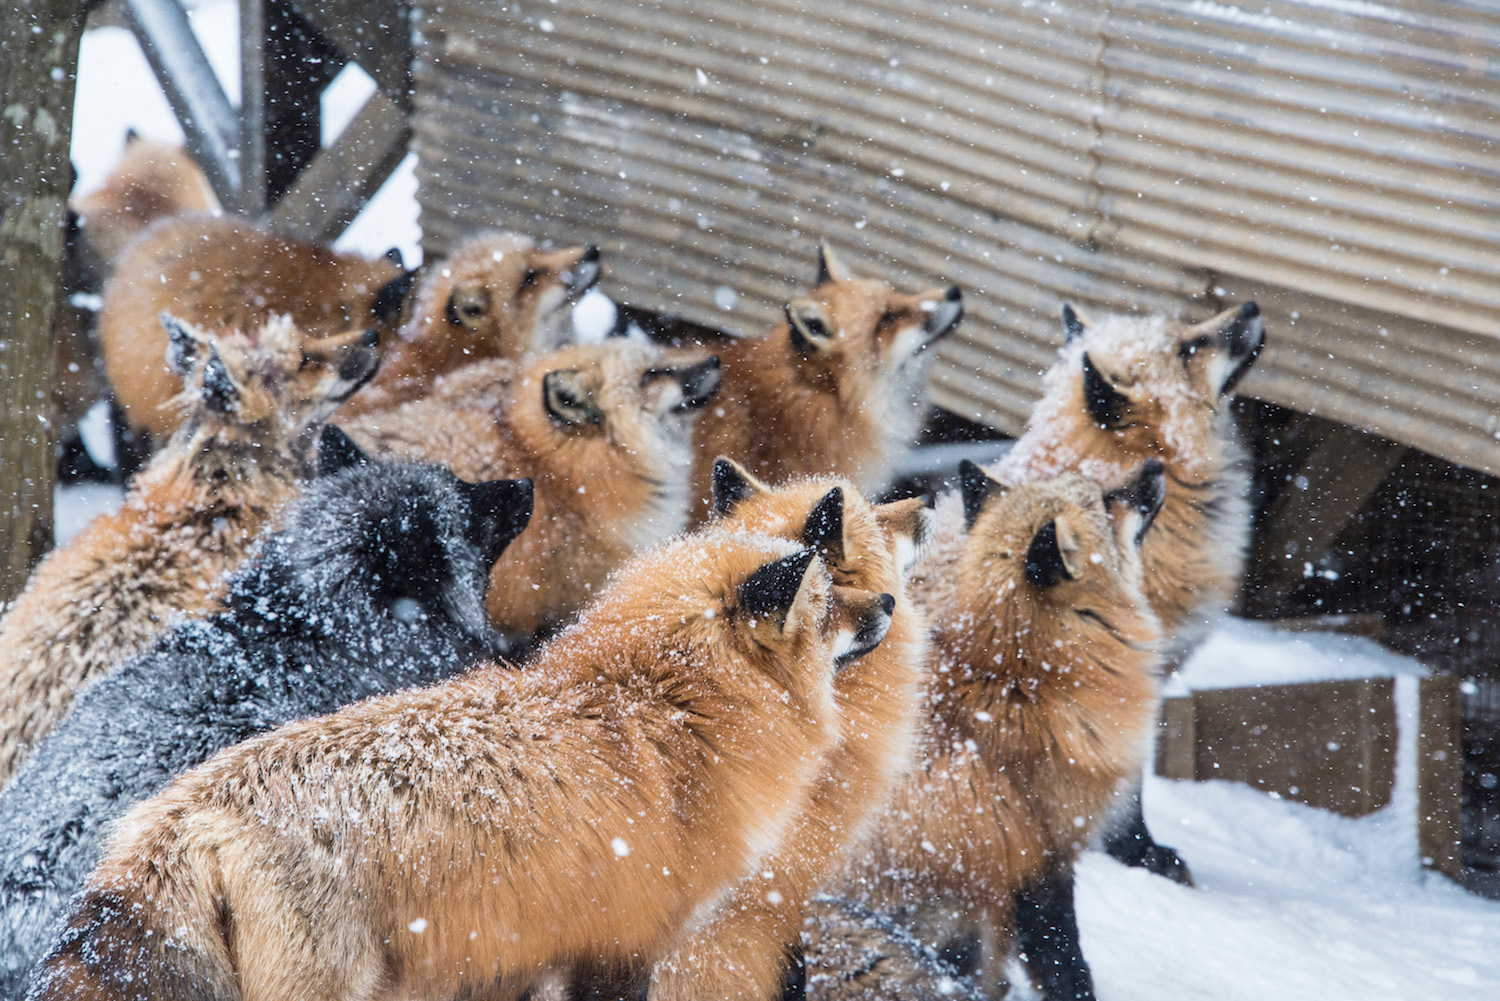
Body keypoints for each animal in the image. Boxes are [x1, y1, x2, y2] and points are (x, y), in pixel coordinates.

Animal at [32, 528, 900, 1001]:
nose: (889, 604)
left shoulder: (519, 956)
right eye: (830, 600)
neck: (662, 712)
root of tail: (187, 807)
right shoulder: (625, 943)